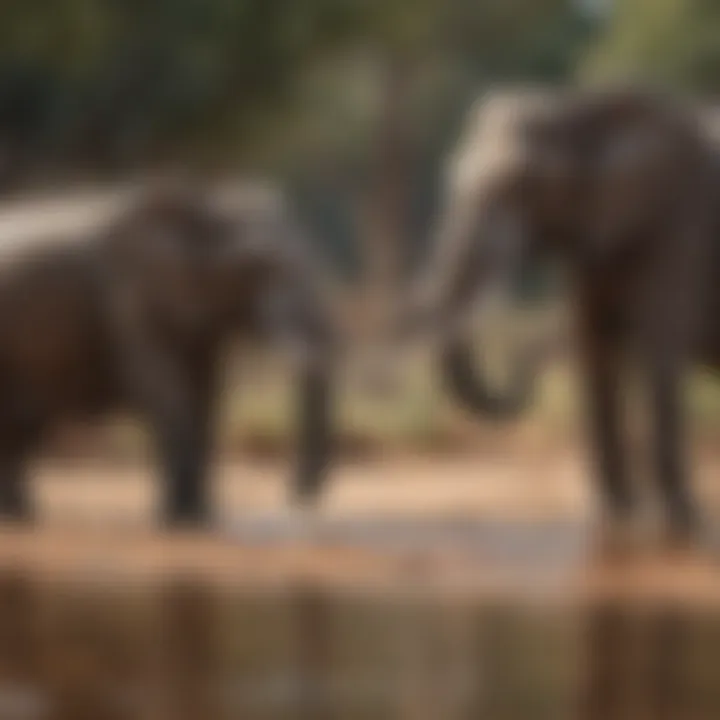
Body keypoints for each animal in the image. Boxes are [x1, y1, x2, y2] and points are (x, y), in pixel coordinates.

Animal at [0, 181, 338, 524]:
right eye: (258, 268)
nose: (295, 494)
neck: (207, 206)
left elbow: (206, 394)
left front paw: (201, 516)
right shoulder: (130, 298)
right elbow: (163, 388)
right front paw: (180, 520)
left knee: (20, 426)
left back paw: (20, 513)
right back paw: (19, 516)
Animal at [408, 88, 720, 540]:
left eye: (521, 184)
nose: (525, 355)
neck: (583, 111)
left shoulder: (678, 226)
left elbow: (657, 349)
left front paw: (678, 527)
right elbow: (594, 349)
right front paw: (613, 521)